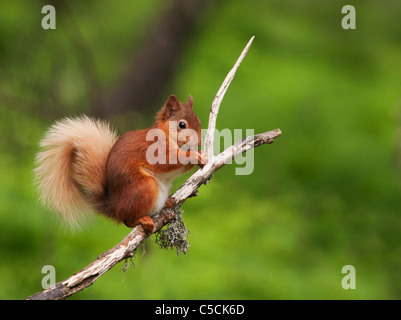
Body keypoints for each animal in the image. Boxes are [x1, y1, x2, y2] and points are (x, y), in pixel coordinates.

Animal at [34, 95, 206, 232]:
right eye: (182, 125)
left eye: (199, 121)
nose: (199, 142)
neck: (167, 135)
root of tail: (114, 207)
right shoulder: (154, 149)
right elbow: (169, 161)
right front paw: (193, 155)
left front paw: (202, 156)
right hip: (144, 187)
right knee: (127, 220)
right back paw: (142, 219)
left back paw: (167, 202)